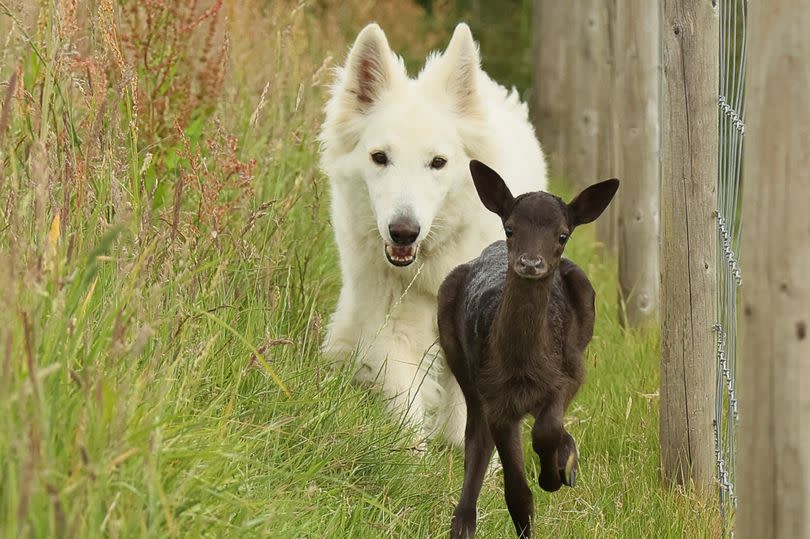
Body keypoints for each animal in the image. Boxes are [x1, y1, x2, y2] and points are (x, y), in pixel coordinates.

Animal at [318, 22, 548, 448]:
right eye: (379, 157)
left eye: (438, 162)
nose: (403, 232)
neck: (434, 261)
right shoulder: (391, 326)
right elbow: (405, 402)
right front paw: (412, 456)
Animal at [438, 161, 616, 539]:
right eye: (510, 228)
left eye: (563, 235)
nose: (531, 263)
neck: (523, 372)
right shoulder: (496, 398)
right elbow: (517, 493)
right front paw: (548, 481)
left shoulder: (568, 374)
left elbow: (547, 429)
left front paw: (556, 474)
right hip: (461, 362)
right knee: (476, 441)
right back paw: (462, 523)